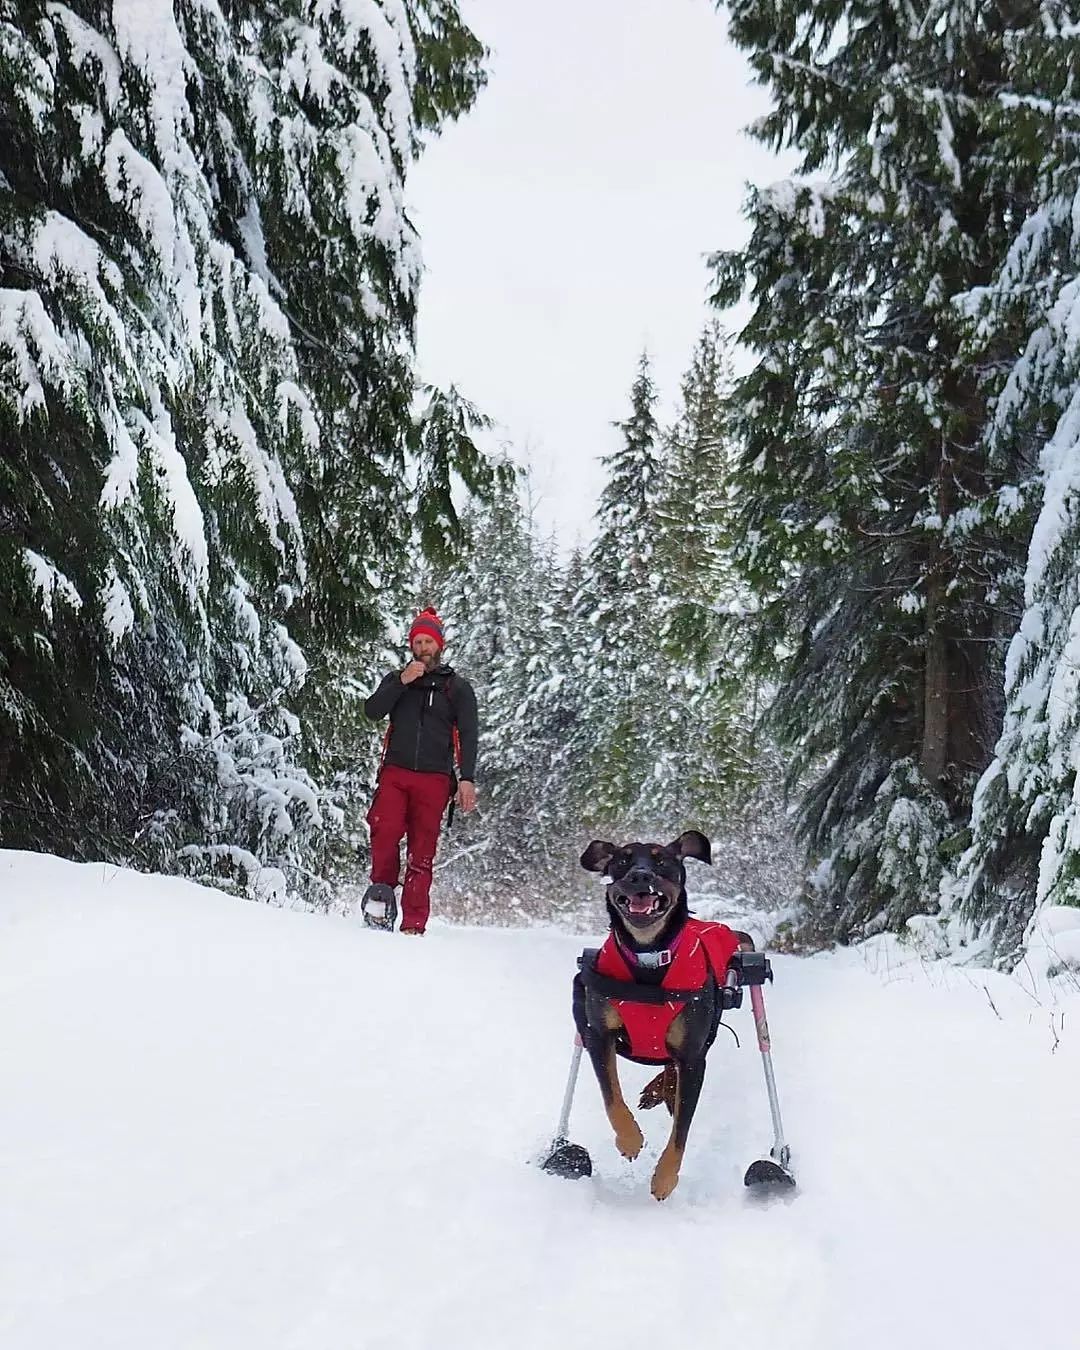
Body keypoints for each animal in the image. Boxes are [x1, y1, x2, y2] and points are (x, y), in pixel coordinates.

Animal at [572, 831, 750, 1204]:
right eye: (622, 860)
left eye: (662, 860)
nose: (640, 876)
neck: (649, 957)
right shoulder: (597, 1033)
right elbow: (611, 1095)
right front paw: (629, 1138)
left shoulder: (694, 1055)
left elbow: (682, 1128)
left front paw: (665, 1178)